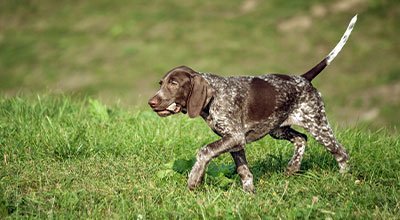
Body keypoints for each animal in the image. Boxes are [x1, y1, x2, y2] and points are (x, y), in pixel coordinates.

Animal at [148, 15, 358, 192]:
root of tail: (304, 79)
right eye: (161, 83)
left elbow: (204, 151)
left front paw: (194, 179)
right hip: (277, 129)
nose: (151, 102)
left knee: (341, 152)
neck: (214, 98)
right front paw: (249, 193)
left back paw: (344, 178)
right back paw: (292, 167)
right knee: (301, 139)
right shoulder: (234, 142)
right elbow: (244, 171)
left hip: (318, 125)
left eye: (174, 83)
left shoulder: (234, 136)